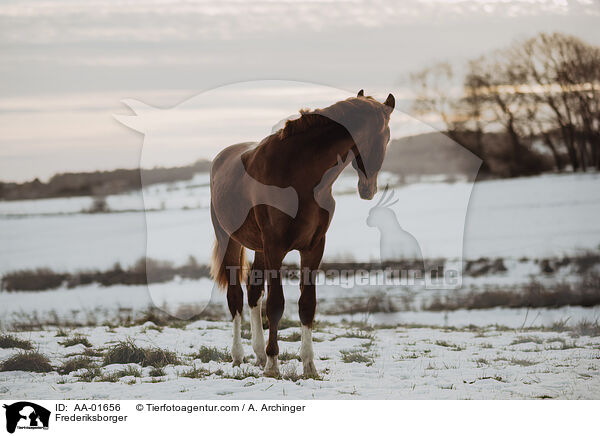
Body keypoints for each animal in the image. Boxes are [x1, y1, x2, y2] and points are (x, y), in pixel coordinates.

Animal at [210, 89, 394, 378]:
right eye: (386, 137)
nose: (369, 190)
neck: (299, 174)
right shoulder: (275, 248)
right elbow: (276, 305)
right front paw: (273, 365)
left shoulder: (313, 247)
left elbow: (307, 304)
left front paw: (309, 366)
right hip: (229, 241)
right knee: (236, 298)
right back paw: (239, 356)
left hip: (259, 249)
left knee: (253, 294)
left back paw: (258, 354)